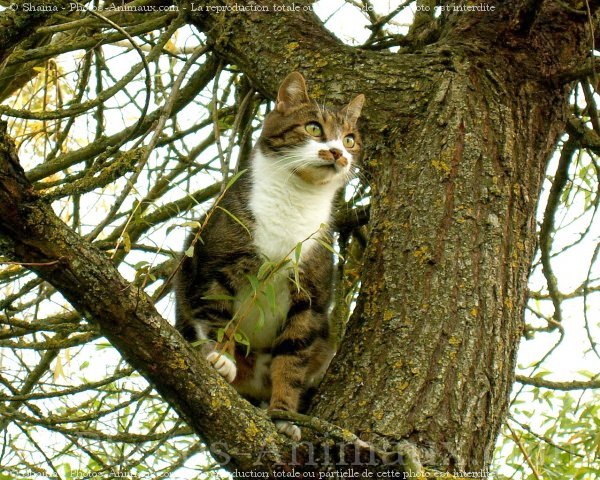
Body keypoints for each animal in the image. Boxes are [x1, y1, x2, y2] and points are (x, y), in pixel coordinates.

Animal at [175, 69, 366, 440]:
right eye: (313, 128)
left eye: (350, 140)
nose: (337, 152)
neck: (296, 200)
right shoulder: (217, 264)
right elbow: (216, 316)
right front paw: (221, 359)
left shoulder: (310, 294)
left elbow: (292, 359)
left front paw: (283, 416)